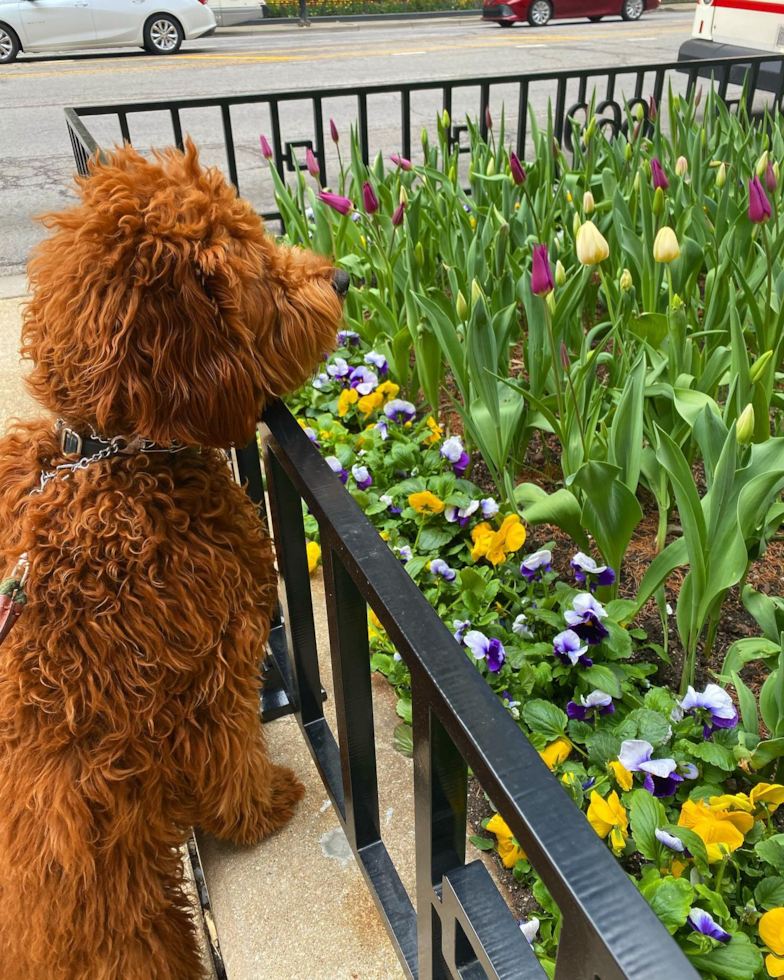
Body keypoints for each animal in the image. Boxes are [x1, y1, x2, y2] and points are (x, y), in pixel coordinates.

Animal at [0, 142, 344, 976]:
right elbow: (230, 752)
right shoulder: (212, 669)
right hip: (129, 923)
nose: (344, 278)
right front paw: (262, 807)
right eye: (256, 268)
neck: (118, 457)